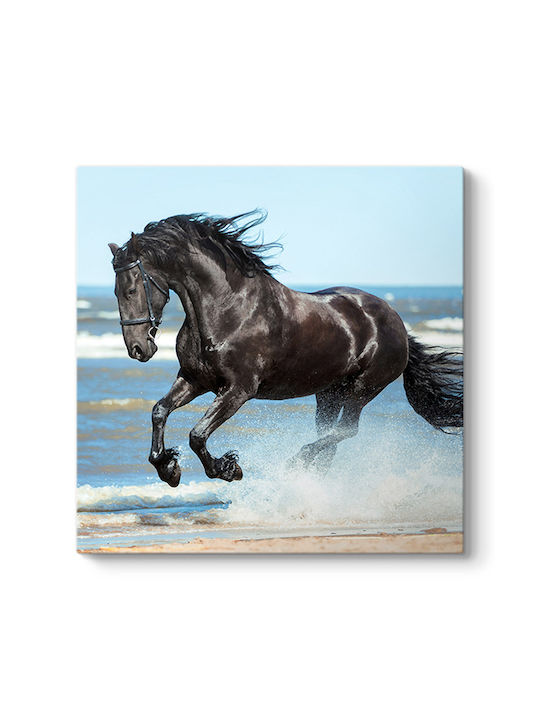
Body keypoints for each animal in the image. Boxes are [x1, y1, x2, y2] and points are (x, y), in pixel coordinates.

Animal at [109, 211, 463, 488]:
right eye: (115, 291)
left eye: (131, 289)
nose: (138, 349)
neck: (229, 309)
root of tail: (398, 324)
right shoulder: (195, 379)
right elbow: (159, 411)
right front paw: (168, 468)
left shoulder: (237, 390)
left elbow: (197, 434)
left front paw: (228, 468)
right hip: (329, 392)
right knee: (331, 436)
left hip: (363, 388)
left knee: (345, 431)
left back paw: (296, 463)